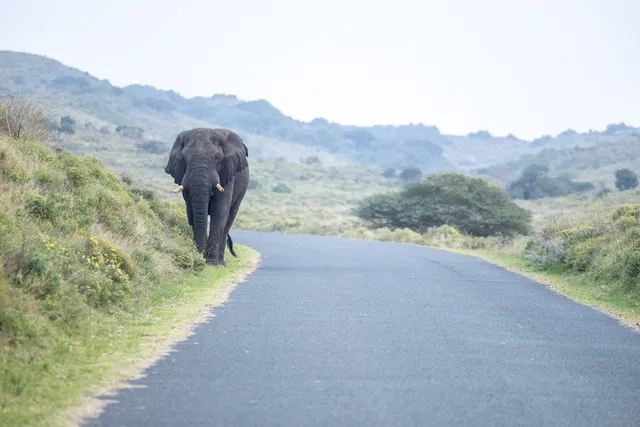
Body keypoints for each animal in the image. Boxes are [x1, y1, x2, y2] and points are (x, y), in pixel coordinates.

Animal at [164, 127, 249, 266]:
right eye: (184, 158)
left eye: (217, 157)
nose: (199, 256)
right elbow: (192, 213)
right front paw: (200, 258)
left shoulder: (227, 173)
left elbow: (219, 211)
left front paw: (211, 263)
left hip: (242, 190)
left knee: (229, 219)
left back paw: (221, 263)